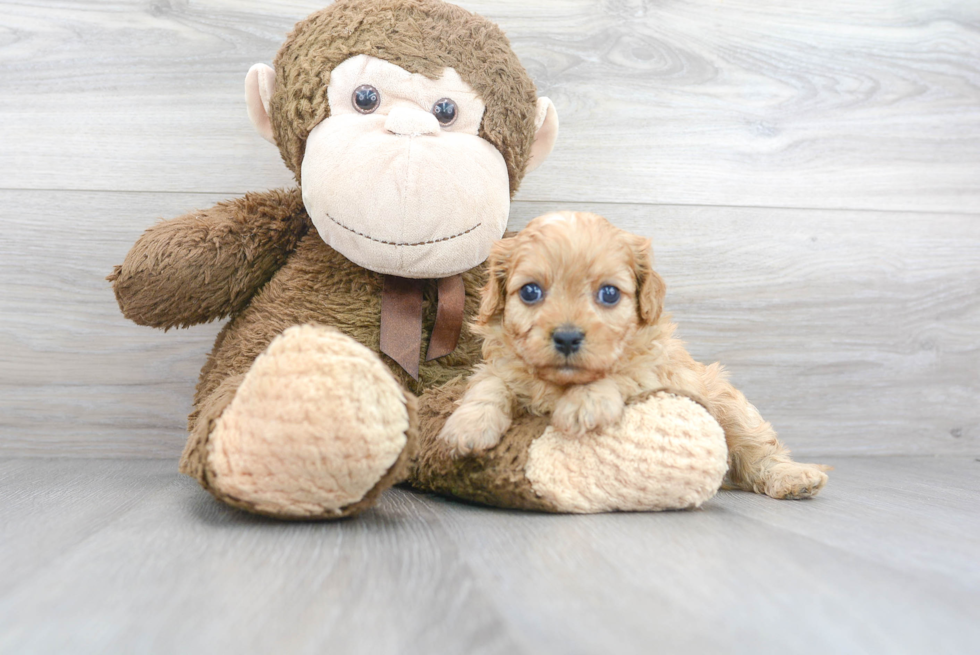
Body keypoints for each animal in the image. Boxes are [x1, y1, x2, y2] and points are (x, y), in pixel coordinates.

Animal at [440, 213, 832, 500]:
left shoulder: (658, 370)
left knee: (759, 452)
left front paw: (585, 404)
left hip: (729, 406)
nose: (567, 337)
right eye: (531, 292)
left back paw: (794, 477)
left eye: (610, 294)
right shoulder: (501, 365)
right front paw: (468, 426)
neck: (562, 383)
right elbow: (490, 384)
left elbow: (623, 372)